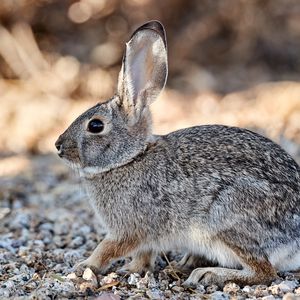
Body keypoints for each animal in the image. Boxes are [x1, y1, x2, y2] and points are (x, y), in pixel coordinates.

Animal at [55, 19, 300, 288]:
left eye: (96, 126)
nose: (58, 146)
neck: (130, 158)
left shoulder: (128, 228)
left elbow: (107, 248)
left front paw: (83, 266)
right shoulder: (146, 236)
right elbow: (144, 254)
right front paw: (132, 269)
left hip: (227, 221)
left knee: (264, 272)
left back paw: (208, 274)